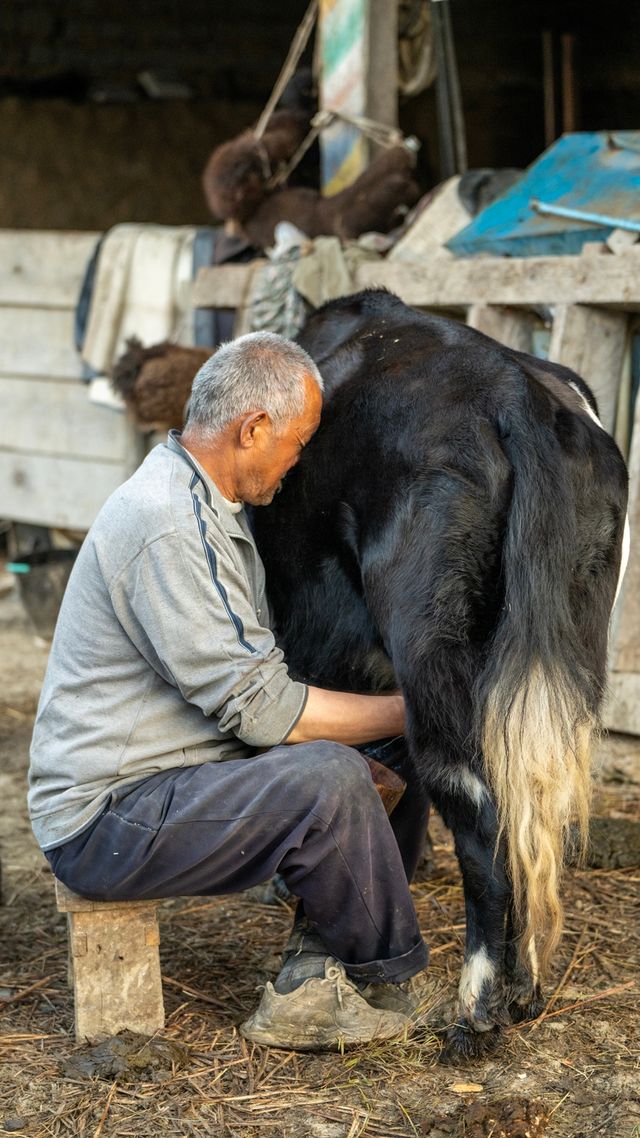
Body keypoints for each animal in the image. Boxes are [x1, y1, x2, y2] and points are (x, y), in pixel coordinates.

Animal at [251, 291, 624, 1056]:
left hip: (432, 653)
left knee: (481, 815)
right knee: (529, 807)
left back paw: (476, 1010)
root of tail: (517, 396)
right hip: (558, 657)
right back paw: (525, 988)